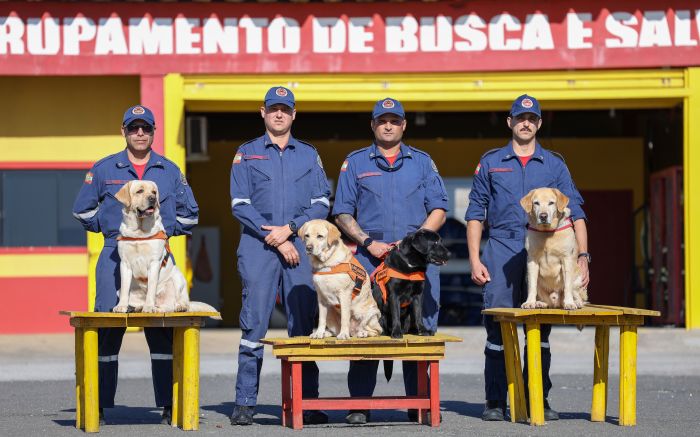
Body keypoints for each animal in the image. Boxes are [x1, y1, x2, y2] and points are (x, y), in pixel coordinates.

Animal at [113, 179, 216, 316]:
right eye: (140, 191)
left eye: (154, 192)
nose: (152, 198)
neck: (140, 233)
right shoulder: (125, 264)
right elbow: (125, 289)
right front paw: (121, 306)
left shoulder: (154, 262)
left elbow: (151, 288)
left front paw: (149, 307)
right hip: (120, 291)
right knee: (163, 306)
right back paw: (140, 308)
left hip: (177, 278)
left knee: (175, 304)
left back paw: (177, 307)